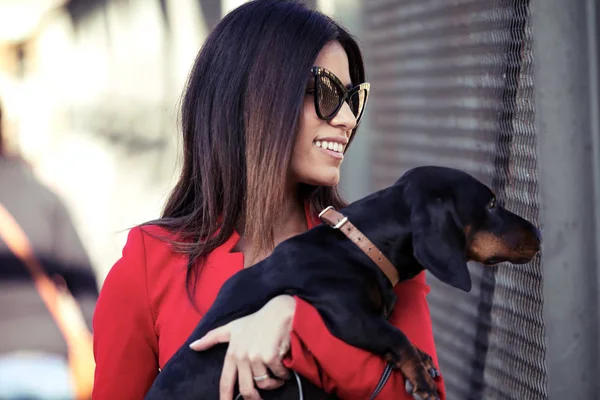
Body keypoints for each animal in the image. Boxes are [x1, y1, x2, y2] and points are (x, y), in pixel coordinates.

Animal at [143, 166, 540, 400]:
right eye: (491, 204)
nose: (538, 233)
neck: (361, 246)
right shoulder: (349, 315)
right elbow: (397, 336)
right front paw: (422, 379)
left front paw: (424, 362)